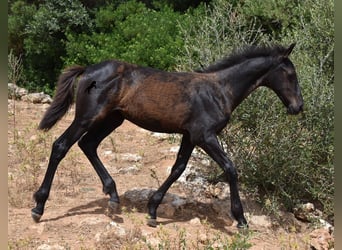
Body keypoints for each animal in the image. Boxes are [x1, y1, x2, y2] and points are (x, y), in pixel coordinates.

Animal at [32, 43, 304, 229]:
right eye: (291, 75)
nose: (298, 107)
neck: (219, 90)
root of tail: (88, 69)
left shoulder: (190, 136)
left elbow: (178, 169)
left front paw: (152, 210)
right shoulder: (205, 136)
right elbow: (230, 168)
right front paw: (241, 219)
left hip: (113, 119)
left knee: (88, 144)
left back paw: (113, 196)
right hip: (87, 117)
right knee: (61, 145)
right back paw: (39, 206)